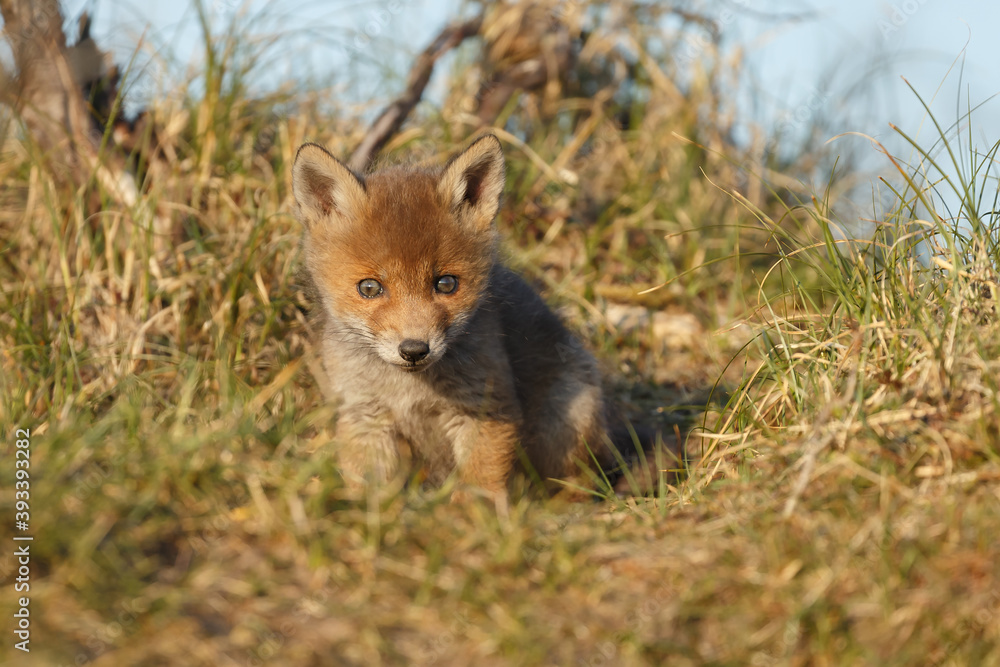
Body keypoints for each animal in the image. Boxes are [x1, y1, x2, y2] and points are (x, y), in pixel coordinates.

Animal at [292, 134, 647, 501]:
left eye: (446, 284)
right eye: (369, 288)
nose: (414, 350)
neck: (410, 390)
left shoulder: (485, 408)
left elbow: (480, 484)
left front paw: (474, 514)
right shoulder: (365, 414)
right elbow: (368, 489)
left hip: (565, 419)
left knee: (580, 482)